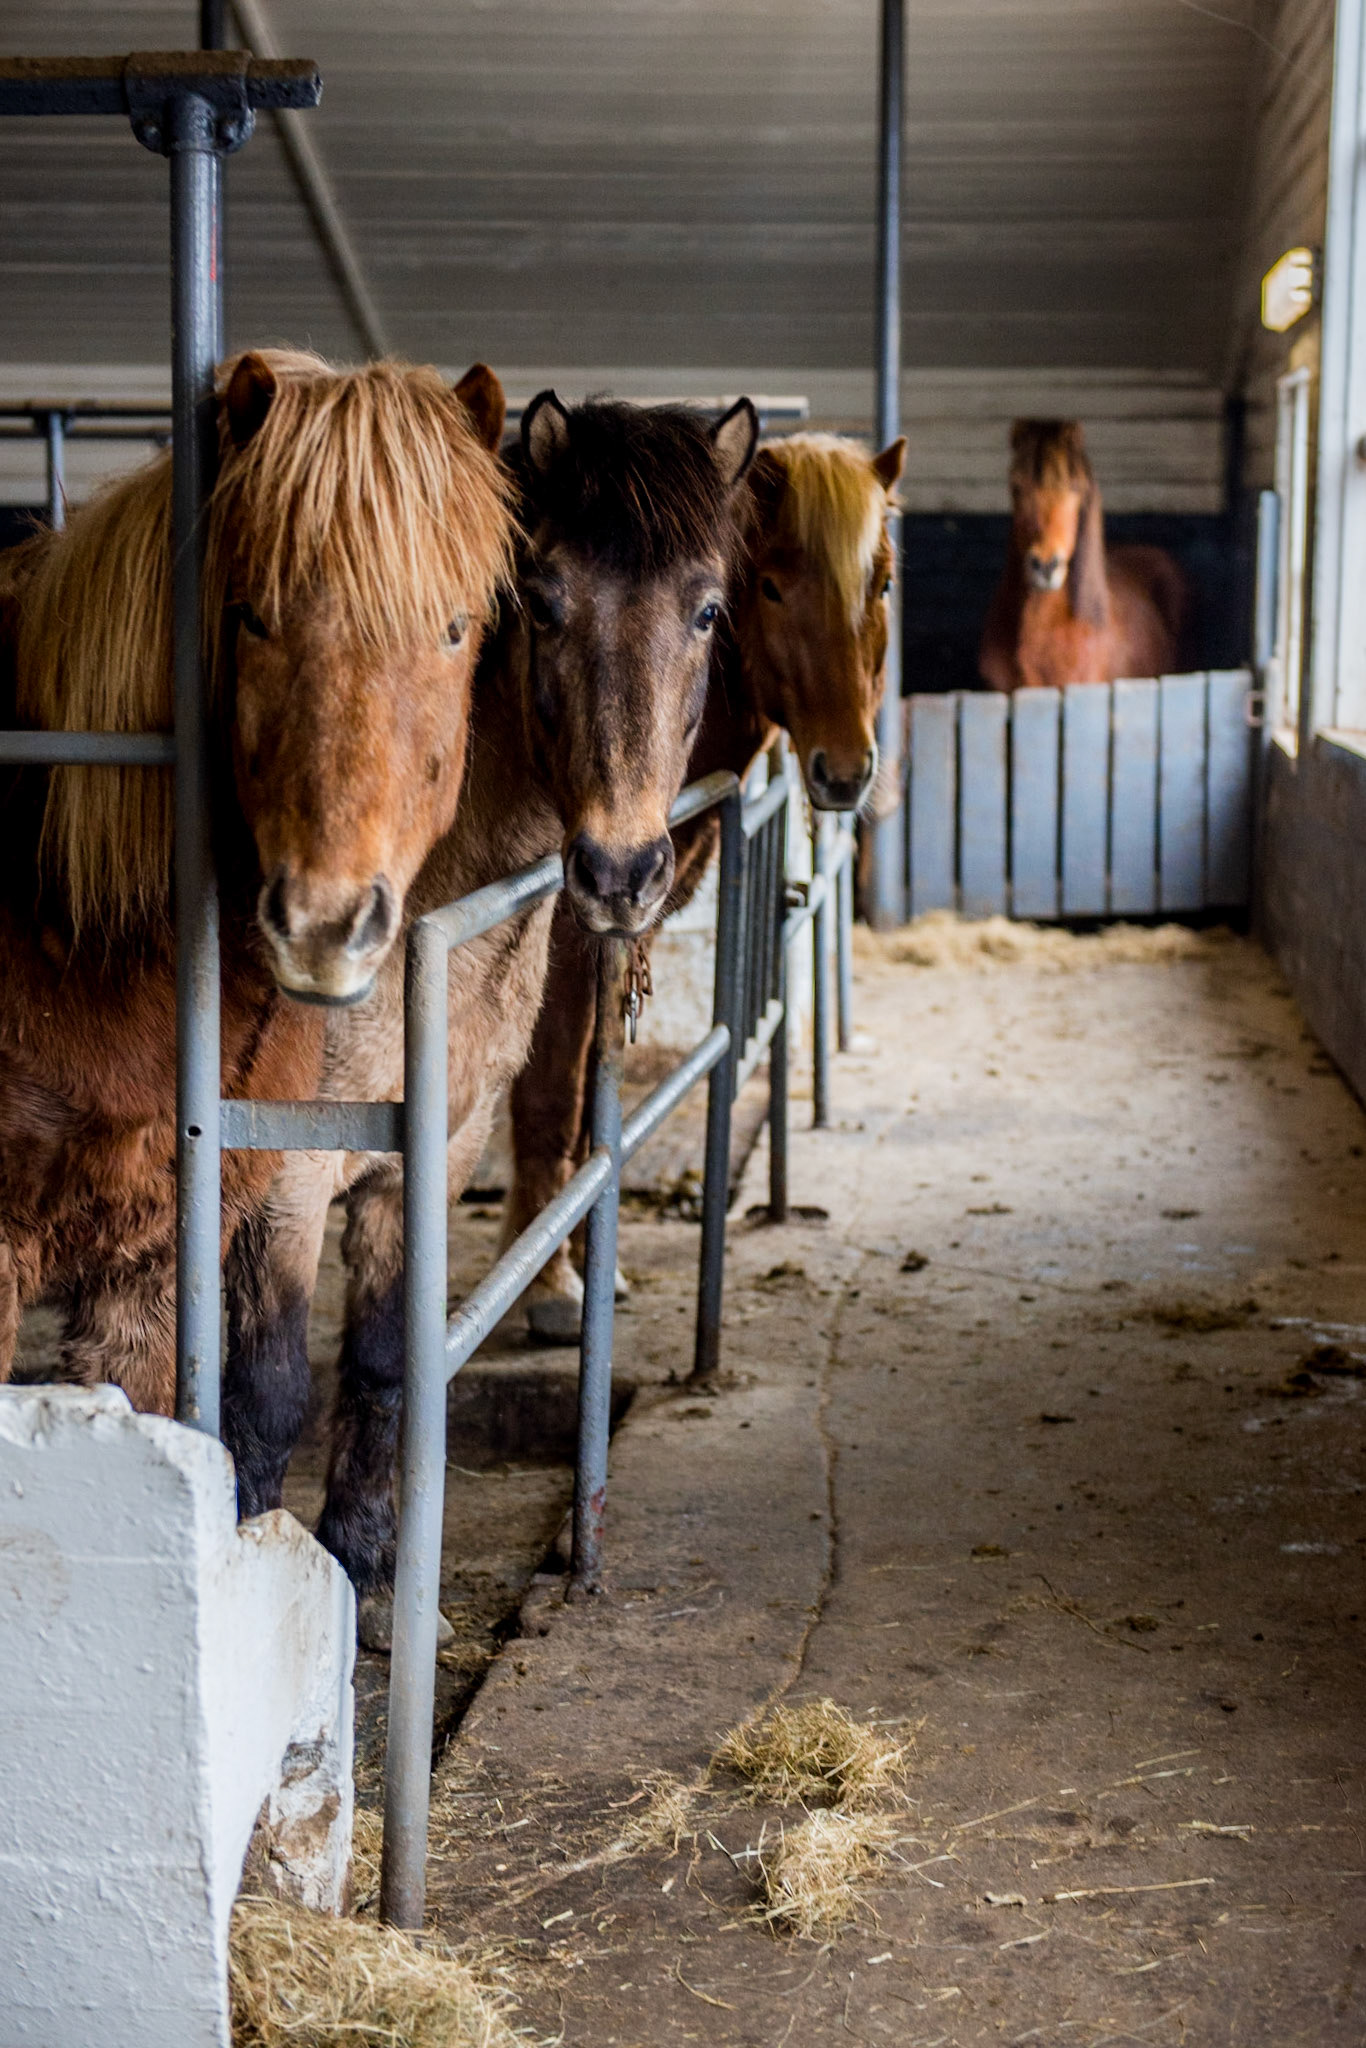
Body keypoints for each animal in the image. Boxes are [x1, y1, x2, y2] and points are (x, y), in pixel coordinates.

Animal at [220, 392, 759, 1641]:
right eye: (545, 598)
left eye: (707, 607)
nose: (620, 867)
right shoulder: (280, 1171)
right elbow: (266, 1392)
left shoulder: (438, 1142)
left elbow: (386, 1360)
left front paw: (368, 1573)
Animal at [506, 427, 907, 1341]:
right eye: (770, 584)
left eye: (882, 581)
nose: (844, 770)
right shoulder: (558, 924)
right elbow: (550, 1091)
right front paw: (549, 1285)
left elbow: (589, 1094)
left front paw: (586, 1264)